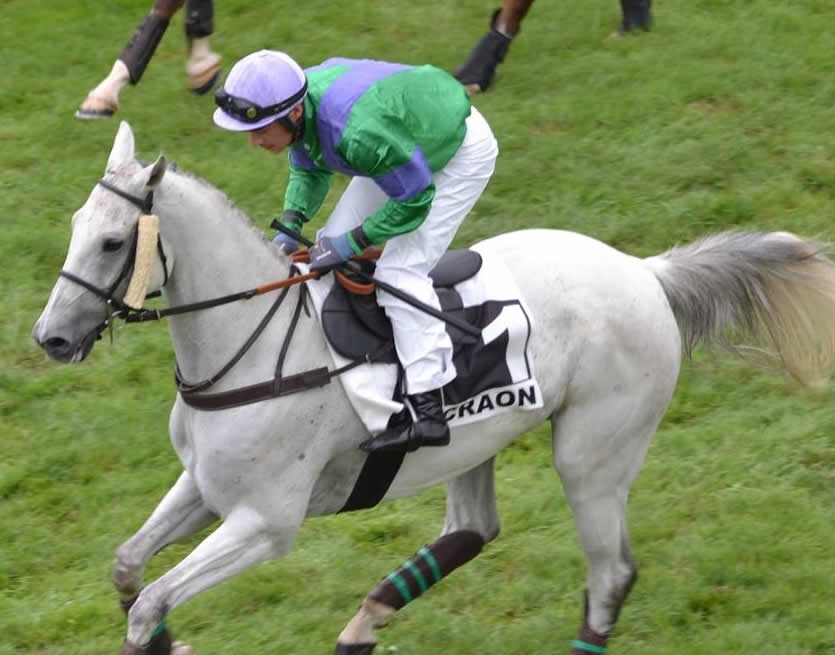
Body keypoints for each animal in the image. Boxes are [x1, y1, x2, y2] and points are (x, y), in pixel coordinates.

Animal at [31, 121, 835, 652]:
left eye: (112, 241)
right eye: (73, 223)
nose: (52, 338)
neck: (248, 347)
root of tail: (645, 271)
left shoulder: (265, 521)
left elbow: (149, 602)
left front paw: (163, 635)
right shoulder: (204, 486)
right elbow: (129, 567)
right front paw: (172, 636)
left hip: (593, 456)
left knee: (609, 574)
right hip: (474, 441)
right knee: (474, 528)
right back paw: (364, 624)